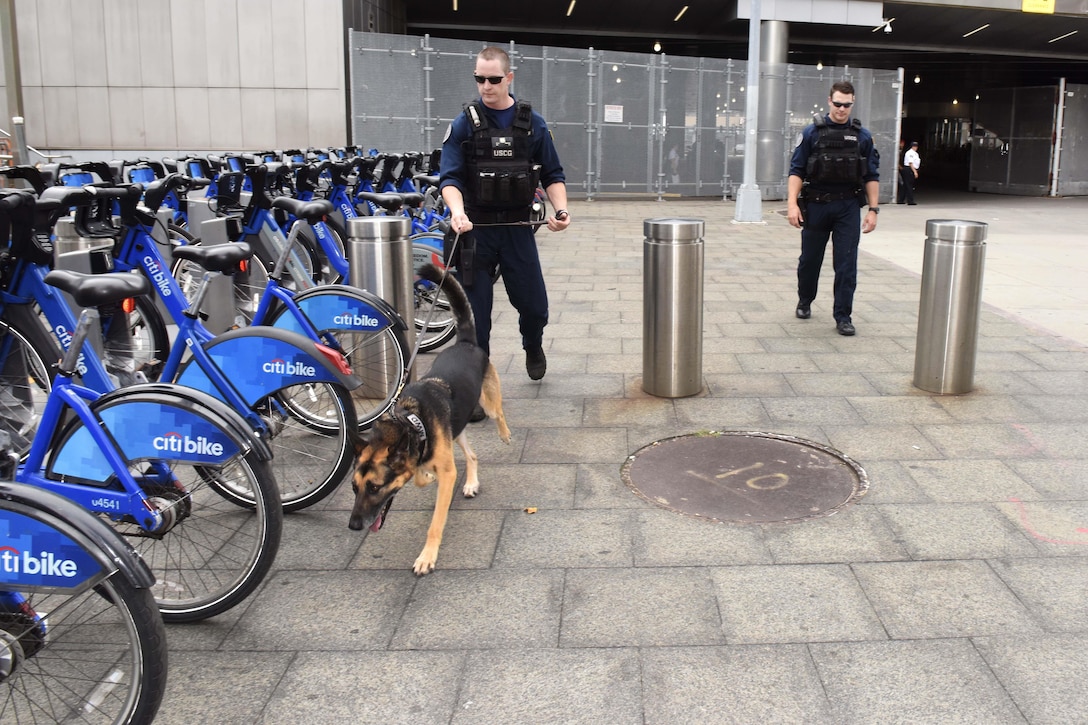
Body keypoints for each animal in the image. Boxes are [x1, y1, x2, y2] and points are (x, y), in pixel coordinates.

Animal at [352, 262, 513, 574]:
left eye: (375, 487)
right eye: (354, 487)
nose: (353, 526)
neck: (413, 423)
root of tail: (464, 343)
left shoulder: (447, 472)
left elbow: (436, 522)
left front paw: (427, 557)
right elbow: (422, 476)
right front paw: (425, 475)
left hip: (487, 402)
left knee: (498, 413)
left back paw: (505, 435)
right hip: (456, 426)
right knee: (471, 455)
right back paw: (470, 482)